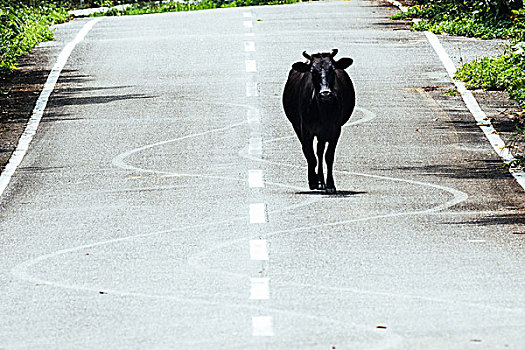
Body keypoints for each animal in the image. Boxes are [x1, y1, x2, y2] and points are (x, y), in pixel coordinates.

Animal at [284, 48, 354, 194]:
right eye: (312, 71)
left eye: (332, 69)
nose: (325, 93)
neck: (323, 110)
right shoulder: (305, 129)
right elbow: (310, 155)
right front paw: (314, 181)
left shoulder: (335, 129)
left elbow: (328, 156)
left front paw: (330, 185)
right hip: (297, 126)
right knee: (312, 152)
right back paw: (318, 181)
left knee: (320, 152)